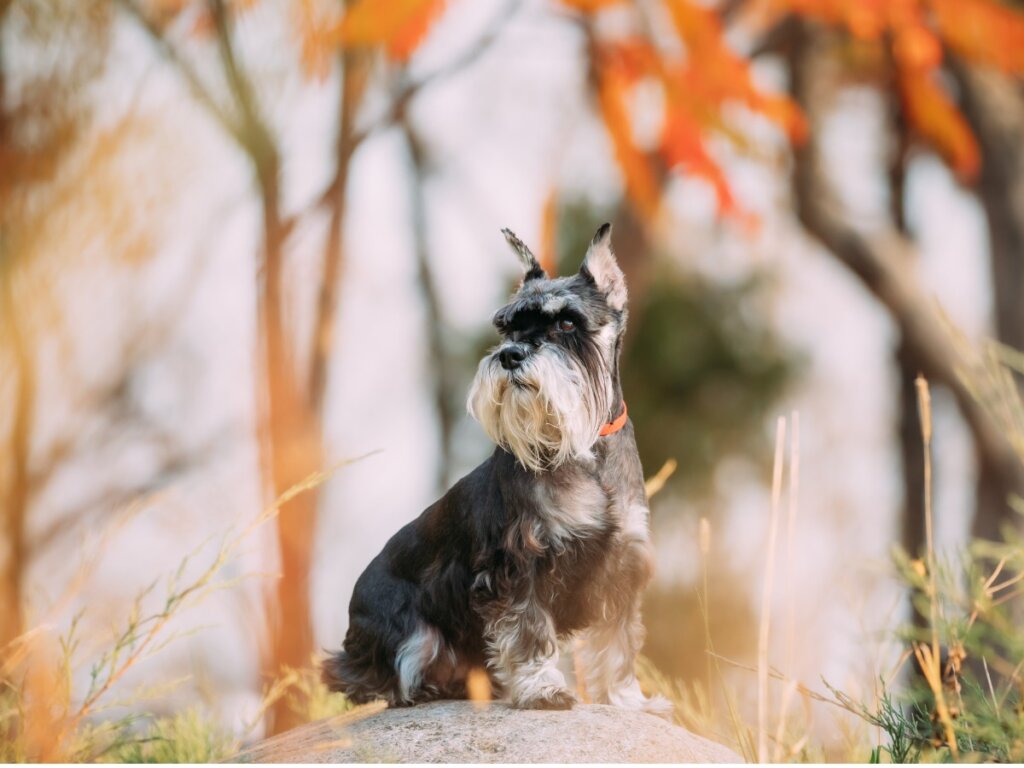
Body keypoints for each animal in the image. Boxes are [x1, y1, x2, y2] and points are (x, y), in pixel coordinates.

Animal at [323, 222, 667, 716]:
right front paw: (543, 689)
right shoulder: (517, 564)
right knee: (384, 674)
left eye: (567, 322)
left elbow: (619, 643)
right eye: (508, 326)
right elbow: (529, 632)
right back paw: (420, 689)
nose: (510, 356)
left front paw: (627, 700)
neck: (584, 450)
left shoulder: (623, 564)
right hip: (409, 634)